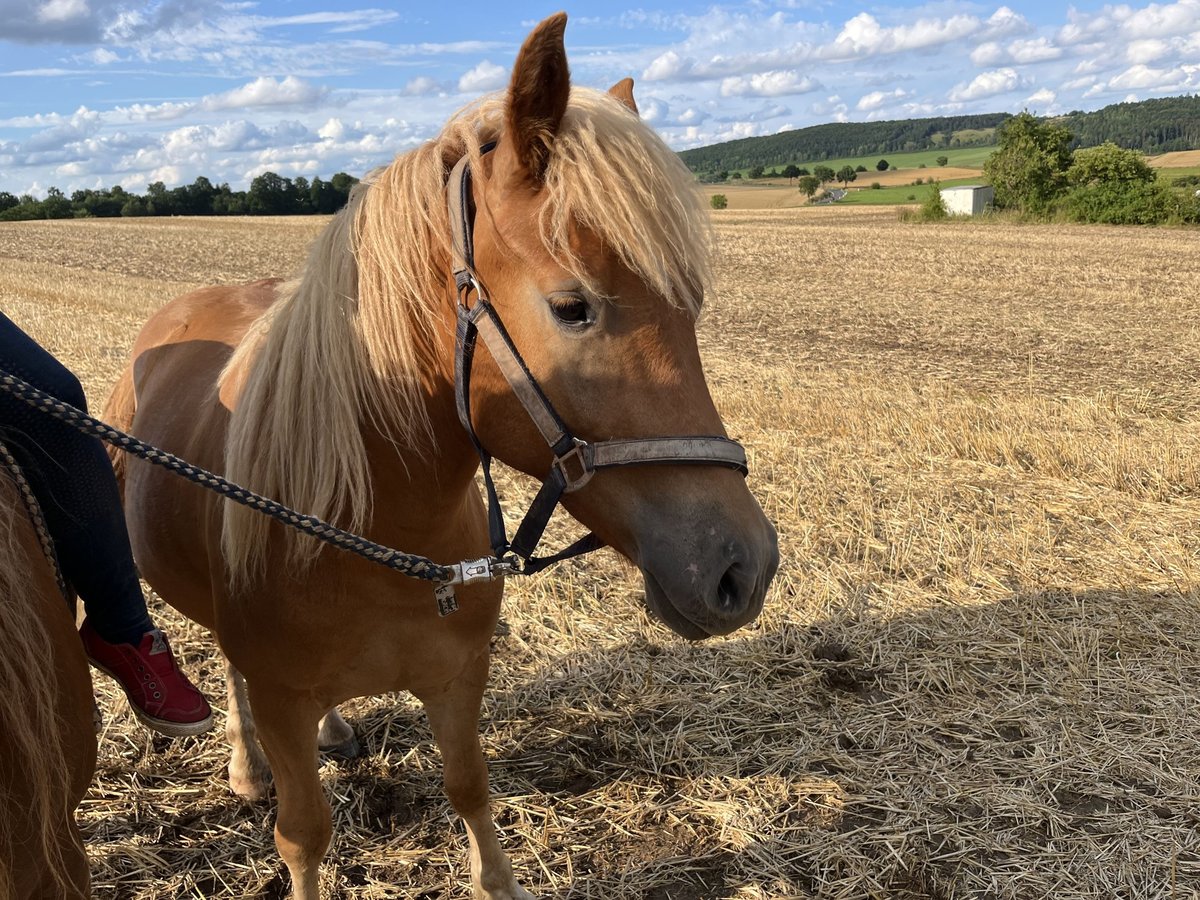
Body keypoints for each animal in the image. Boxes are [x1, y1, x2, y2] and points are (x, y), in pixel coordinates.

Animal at [103, 14, 777, 900]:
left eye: (690, 305)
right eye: (573, 307)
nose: (744, 567)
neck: (371, 530)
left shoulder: (458, 678)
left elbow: (470, 789)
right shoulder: (282, 699)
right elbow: (303, 835)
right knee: (232, 677)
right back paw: (248, 768)